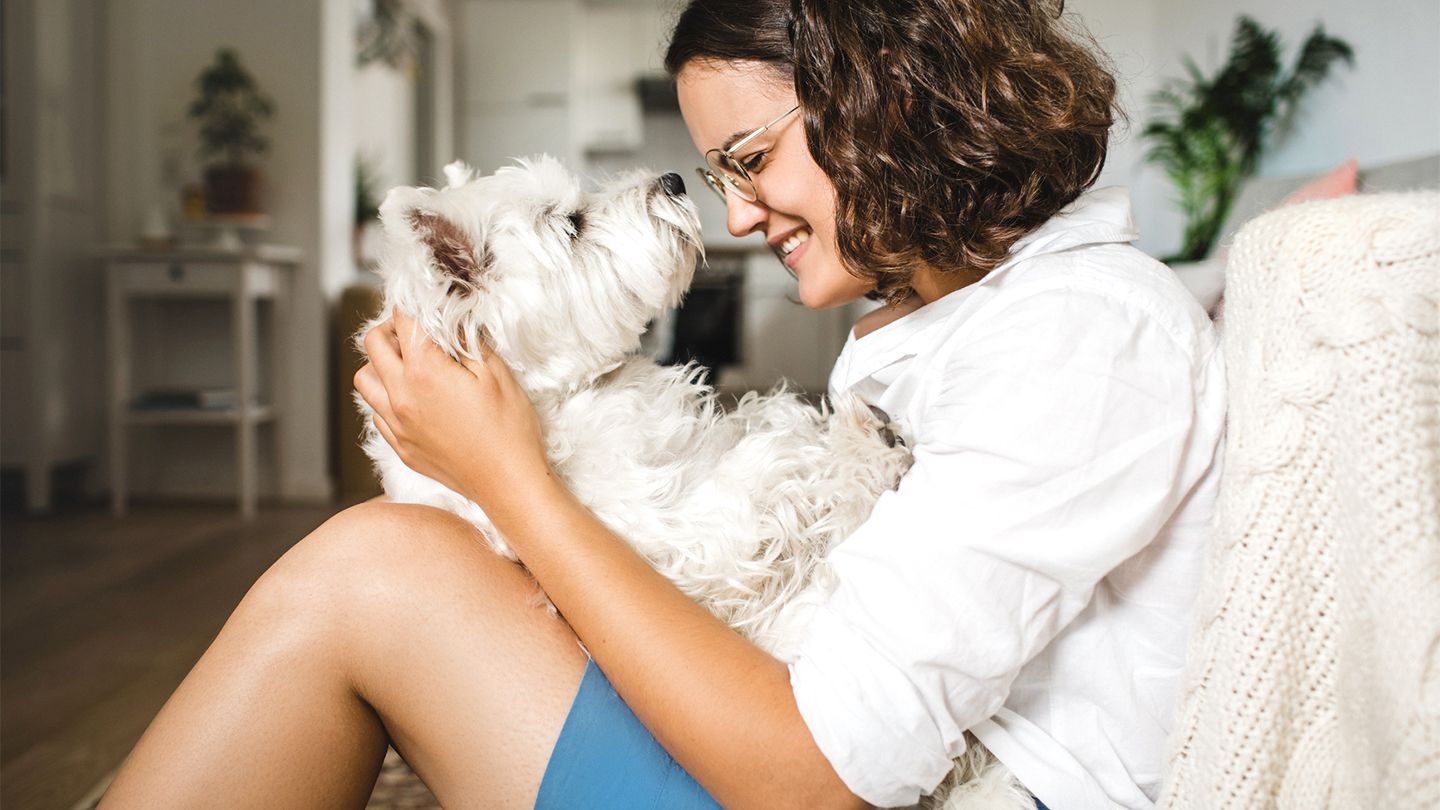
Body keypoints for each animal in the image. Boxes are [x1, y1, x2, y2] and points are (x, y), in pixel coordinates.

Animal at [360, 157, 1036, 807]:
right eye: (571, 224)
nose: (672, 178)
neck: (566, 396)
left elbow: (762, 422)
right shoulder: (685, 536)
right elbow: (769, 474)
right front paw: (856, 445)